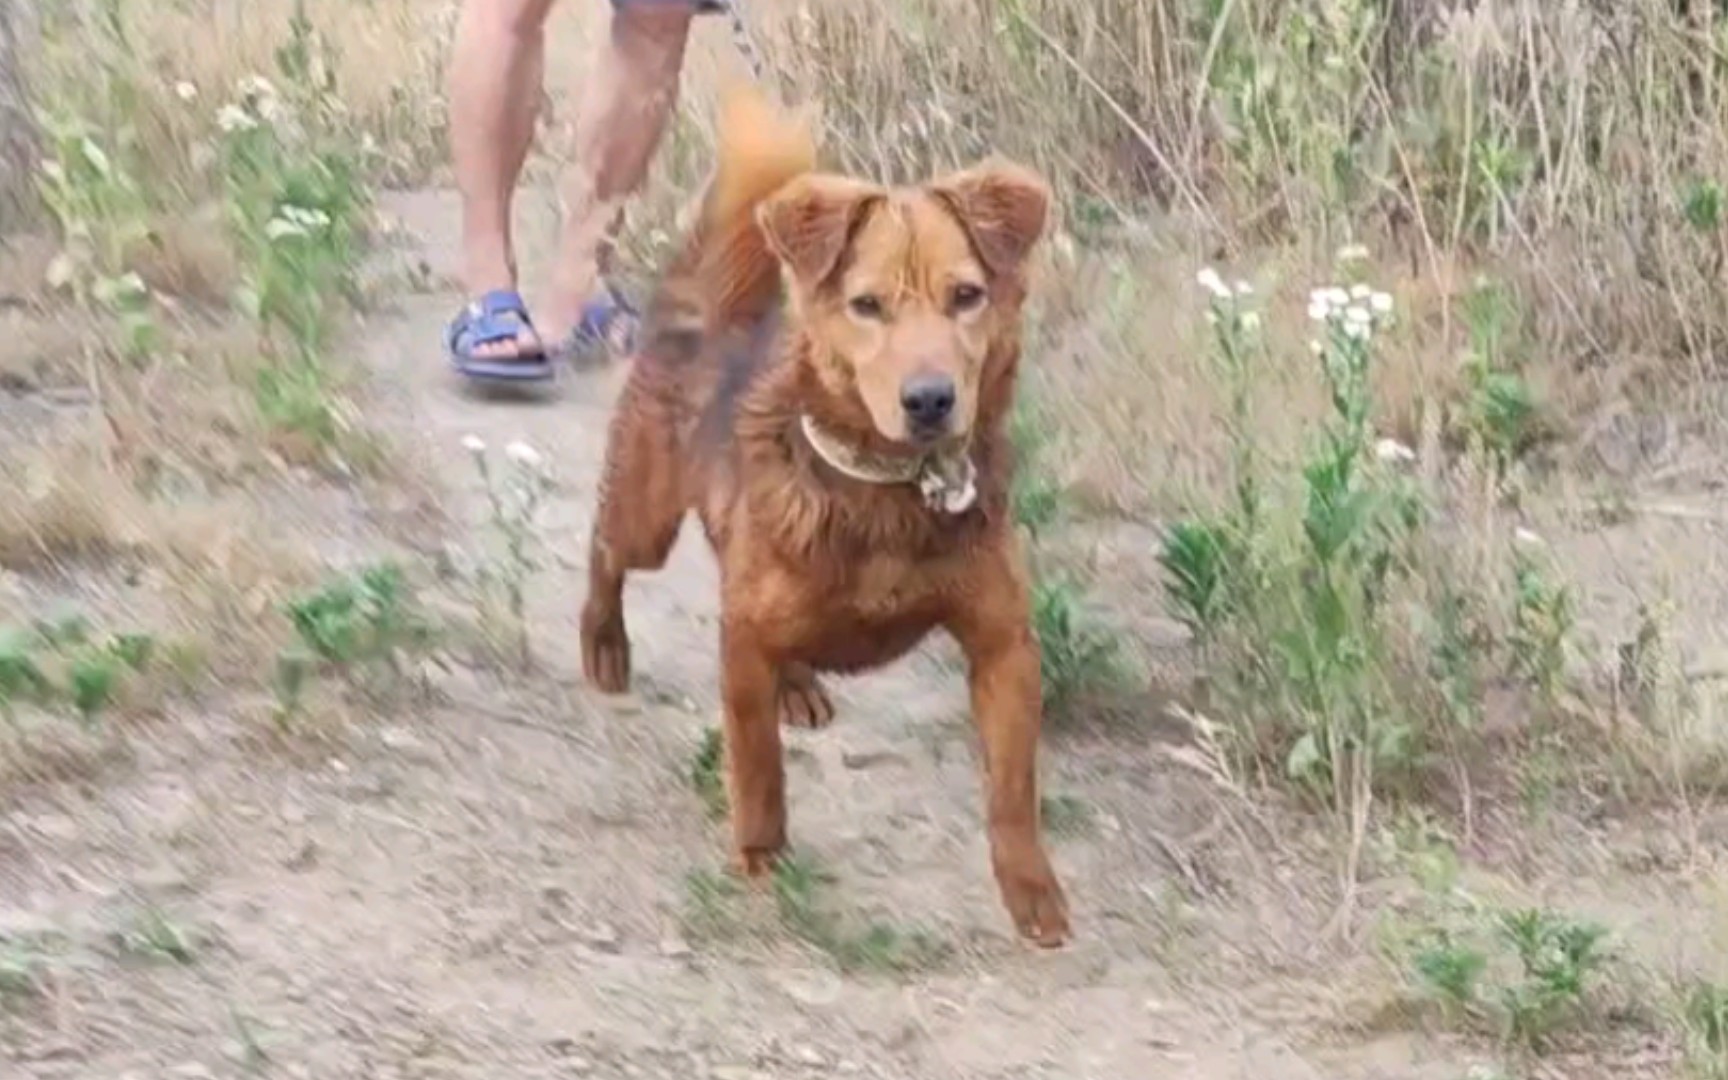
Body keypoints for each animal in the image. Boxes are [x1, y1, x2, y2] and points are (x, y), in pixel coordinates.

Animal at [580, 88, 1064, 940]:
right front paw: (762, 852)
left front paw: (1031, 888)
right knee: (606, 553)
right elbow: (758, 764)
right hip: (646, 520)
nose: (930, 399)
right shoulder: (741, 645)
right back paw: (603, 642)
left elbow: (1013, 788)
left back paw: (798, 683)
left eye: (966, 296)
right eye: (867, 305)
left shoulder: (1005, 645)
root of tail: (705, 299)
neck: (889, 490)